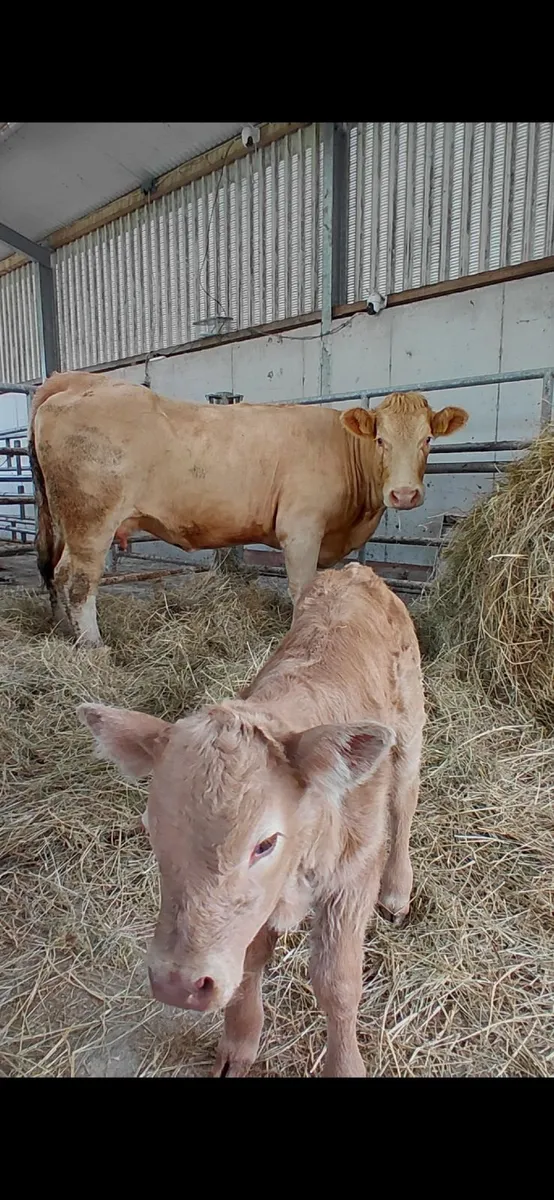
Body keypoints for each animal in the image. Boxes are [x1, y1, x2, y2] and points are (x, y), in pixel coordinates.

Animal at [29, 370, 468, 646]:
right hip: (91, 522)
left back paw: (62, 631)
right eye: (380, 440)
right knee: (78, 580)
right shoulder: (301, 529)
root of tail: (76, 381)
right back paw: (93, 645)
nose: (404, 494)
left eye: (428, 439)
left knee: (53, 571)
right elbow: (301, 589)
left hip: (61, 519)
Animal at [77, 562, 425, 1078]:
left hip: (409, 729)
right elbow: (249, 961)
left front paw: (345, 1063)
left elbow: (337, 982)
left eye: (264, 844)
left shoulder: (354, 874)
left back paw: (398, 891)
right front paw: (239, 1043)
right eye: (154, 832)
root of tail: (356, 570)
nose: (177, 984)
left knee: (404, 799)